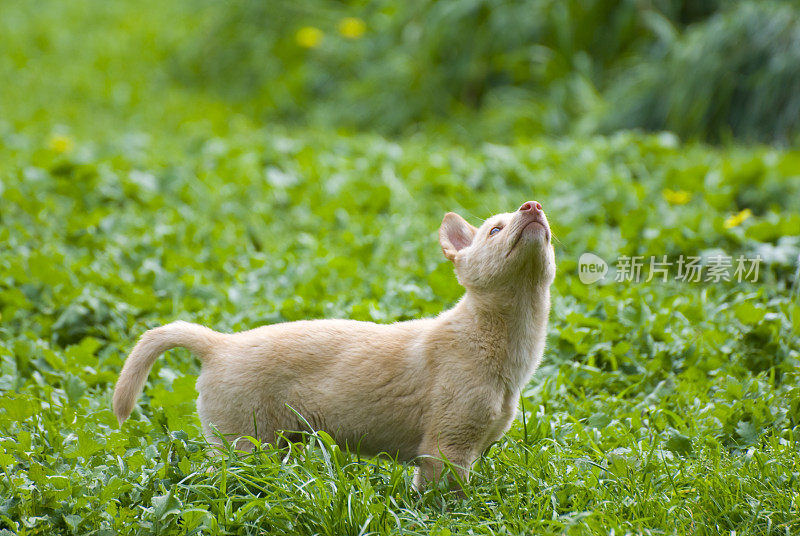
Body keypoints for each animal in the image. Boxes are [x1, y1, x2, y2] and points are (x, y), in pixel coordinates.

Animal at [112, 200, 556, 486]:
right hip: (241, 442)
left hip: (274, 443)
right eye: (495, 229)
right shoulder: (445, 449)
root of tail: (218, 344)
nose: (533, 206)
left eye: (549, 234)